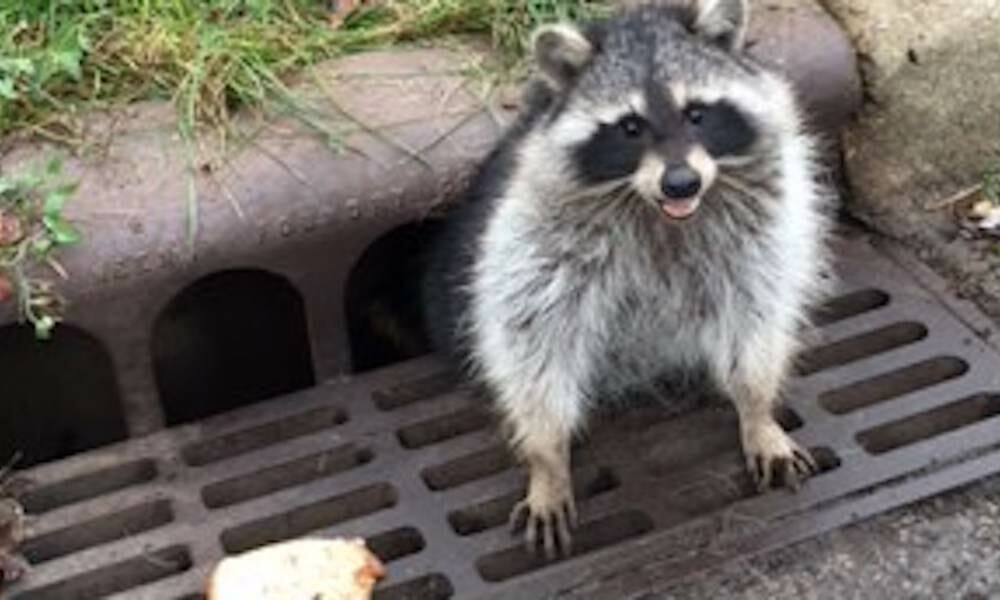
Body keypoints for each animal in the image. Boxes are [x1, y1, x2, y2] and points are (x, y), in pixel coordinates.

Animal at [420, 0, 828, 556]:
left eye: (697, 114)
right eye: (630, 127)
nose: (682, 182)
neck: (658, 210)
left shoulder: (758, 232)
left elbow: (754, 314)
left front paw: (757, 411)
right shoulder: (533, 239)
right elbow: (531, 341)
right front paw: (547, 458)